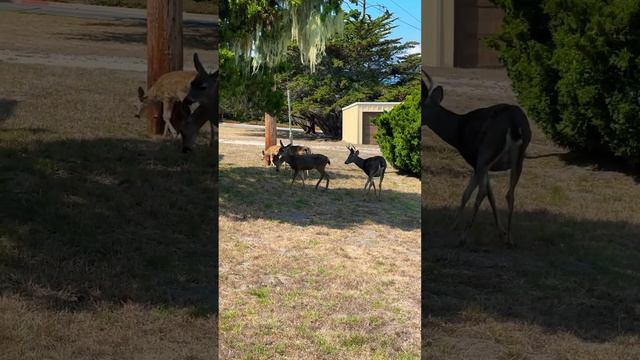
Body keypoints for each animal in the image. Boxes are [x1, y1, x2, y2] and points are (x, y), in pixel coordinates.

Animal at [422, 67, 532, 248]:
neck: (457, 130)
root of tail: (514, 123)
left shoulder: (475, 161)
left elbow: (469, 193)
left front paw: (454, 226)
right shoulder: (486, 165)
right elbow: (490, 196)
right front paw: (502, 232)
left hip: (487, 152)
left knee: (481, 192)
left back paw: (463, 238)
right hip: (518, 159)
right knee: (509, 194)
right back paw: (510, 240)